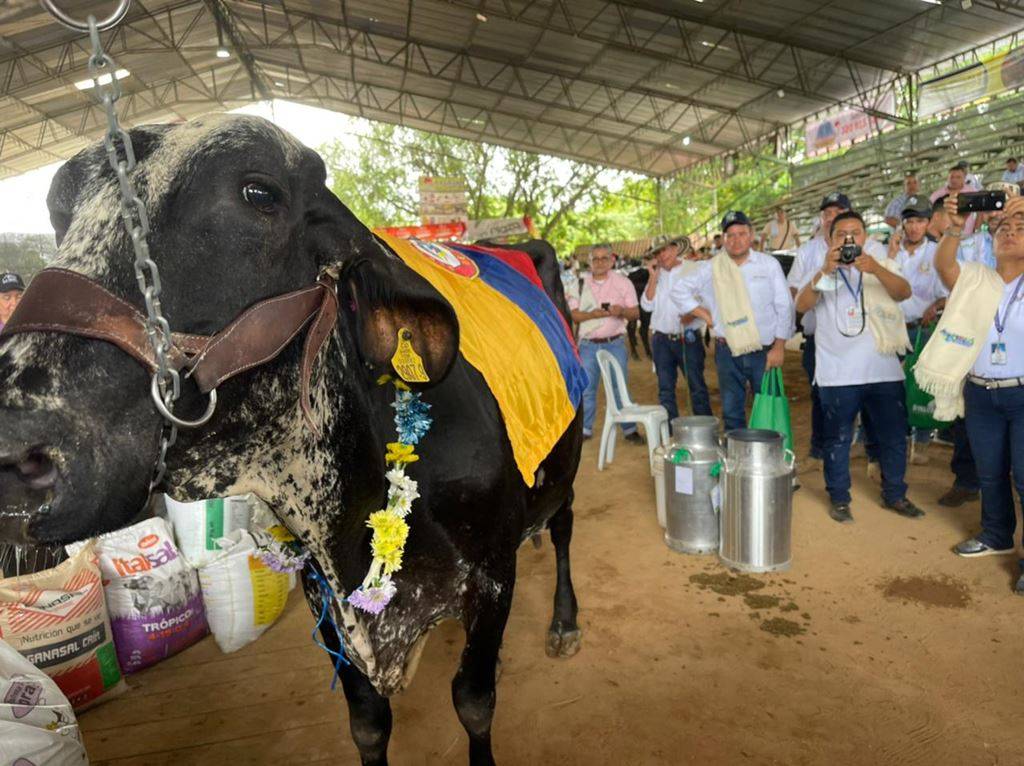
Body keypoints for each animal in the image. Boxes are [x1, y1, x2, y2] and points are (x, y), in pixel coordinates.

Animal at [0, 113, 581, 766]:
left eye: (259, 194)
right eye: (58, 216)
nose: (16, 451)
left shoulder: (492, 573)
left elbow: (475, 703)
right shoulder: (323, 596)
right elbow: (368, 724)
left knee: (562, 526)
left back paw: (564, 621)